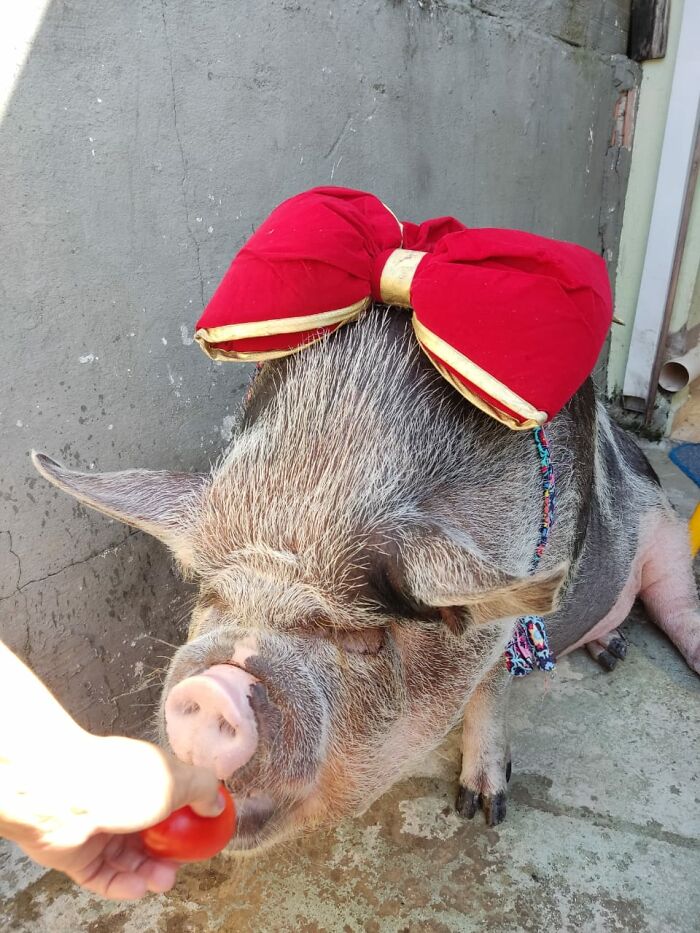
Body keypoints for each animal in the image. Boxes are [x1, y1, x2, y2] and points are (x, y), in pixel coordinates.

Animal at [33, 308, 700, 847]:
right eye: (211, 595)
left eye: (360, 636)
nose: (213, 687)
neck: (323, 477)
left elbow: (492, 684)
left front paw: (481, 811)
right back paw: (611, 649)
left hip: (666, 529)